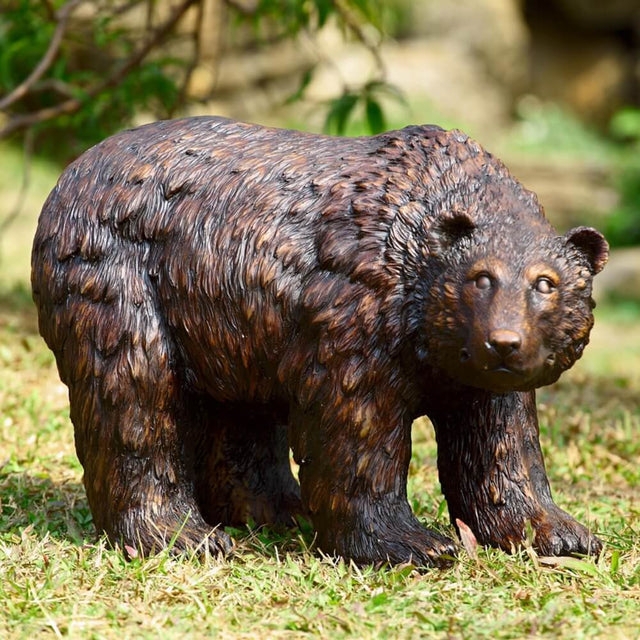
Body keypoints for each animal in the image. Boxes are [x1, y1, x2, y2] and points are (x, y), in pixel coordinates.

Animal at [31, 116, 608, 567]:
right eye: (481, 277)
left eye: (546, 283)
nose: (504, 341)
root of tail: (70, 172)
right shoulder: (356, 317)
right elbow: (358, 433)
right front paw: (412, 543)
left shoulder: (476, 373)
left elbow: (500, 444)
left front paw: (561, 532)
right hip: (121, 277)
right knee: (134, 394)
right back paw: (184, 535)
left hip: (229, 308)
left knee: (239, 409)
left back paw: (274, 510)